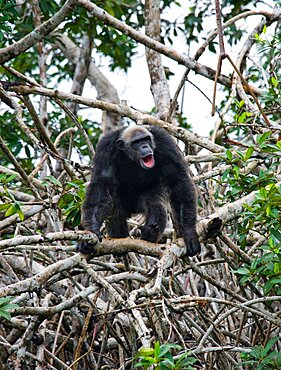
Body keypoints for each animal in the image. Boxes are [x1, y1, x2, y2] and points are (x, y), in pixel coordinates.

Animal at [76, 125, 199, 256]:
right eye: (137, 142)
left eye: (146, 139)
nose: (145, 146)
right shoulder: (105, 147)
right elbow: (102, 183)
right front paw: (91, 230)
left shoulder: (165, 142)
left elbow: (178, 179)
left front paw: (188, 232)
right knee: (116, 209)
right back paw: (120, 239)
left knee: (154, 202)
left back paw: (150, 232)